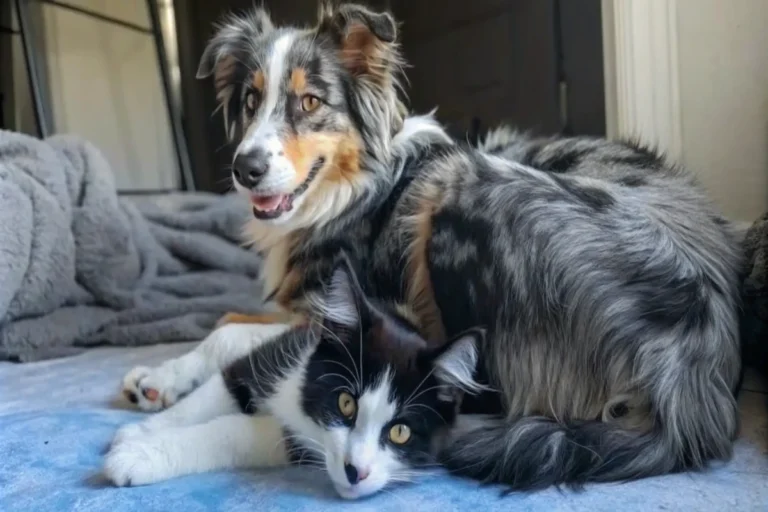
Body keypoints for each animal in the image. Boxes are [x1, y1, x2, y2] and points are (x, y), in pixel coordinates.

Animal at [105, 258, 484, 498]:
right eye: (345, 403)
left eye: (400, 432)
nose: (356, 473)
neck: (303, 400)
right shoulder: (275, 355)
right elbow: (215, 391)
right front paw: (139, 437)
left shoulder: (294, 441)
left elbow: (235, 430)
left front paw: (137, 453)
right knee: (224, 336)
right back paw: (152, 383)